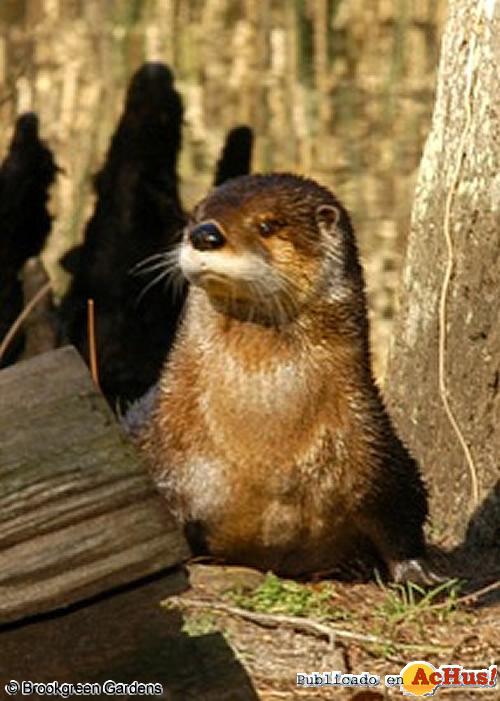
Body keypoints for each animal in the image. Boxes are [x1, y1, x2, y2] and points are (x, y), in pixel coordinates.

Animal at [137, 174, 434, 580]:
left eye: (268, 225)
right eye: (194, 216)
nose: (204, 234)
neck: (265, 451)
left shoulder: (379, 451)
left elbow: (403, 517)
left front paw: (418, 574)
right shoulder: (163, 453)